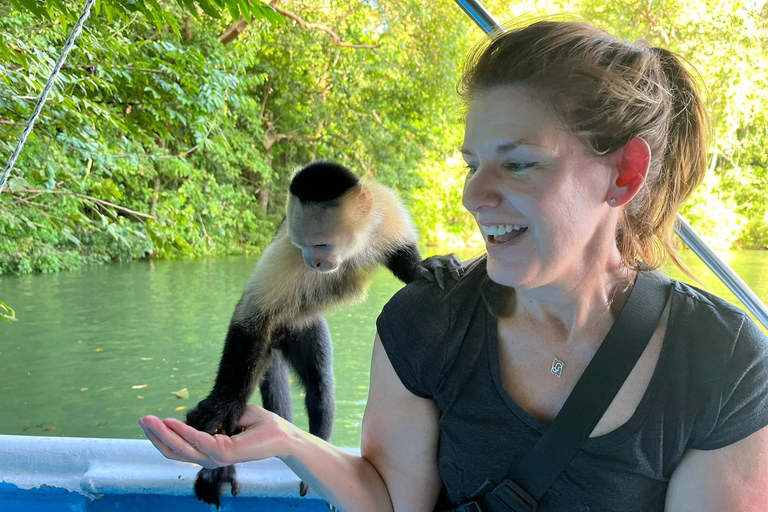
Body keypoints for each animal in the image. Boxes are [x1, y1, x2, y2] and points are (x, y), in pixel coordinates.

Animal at [188, 162, 460, 506]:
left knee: (321, 389)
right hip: (277, 334)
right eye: (305, 245)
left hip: (306, 328)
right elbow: (249, 319)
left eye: (322, 244)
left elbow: (402, 258)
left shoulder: (384, 212)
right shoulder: (287, 252)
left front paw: (424, 266)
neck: (350, 248)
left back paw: (317, 446)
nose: (312, 261)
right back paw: (222, 466)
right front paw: (224, 404)